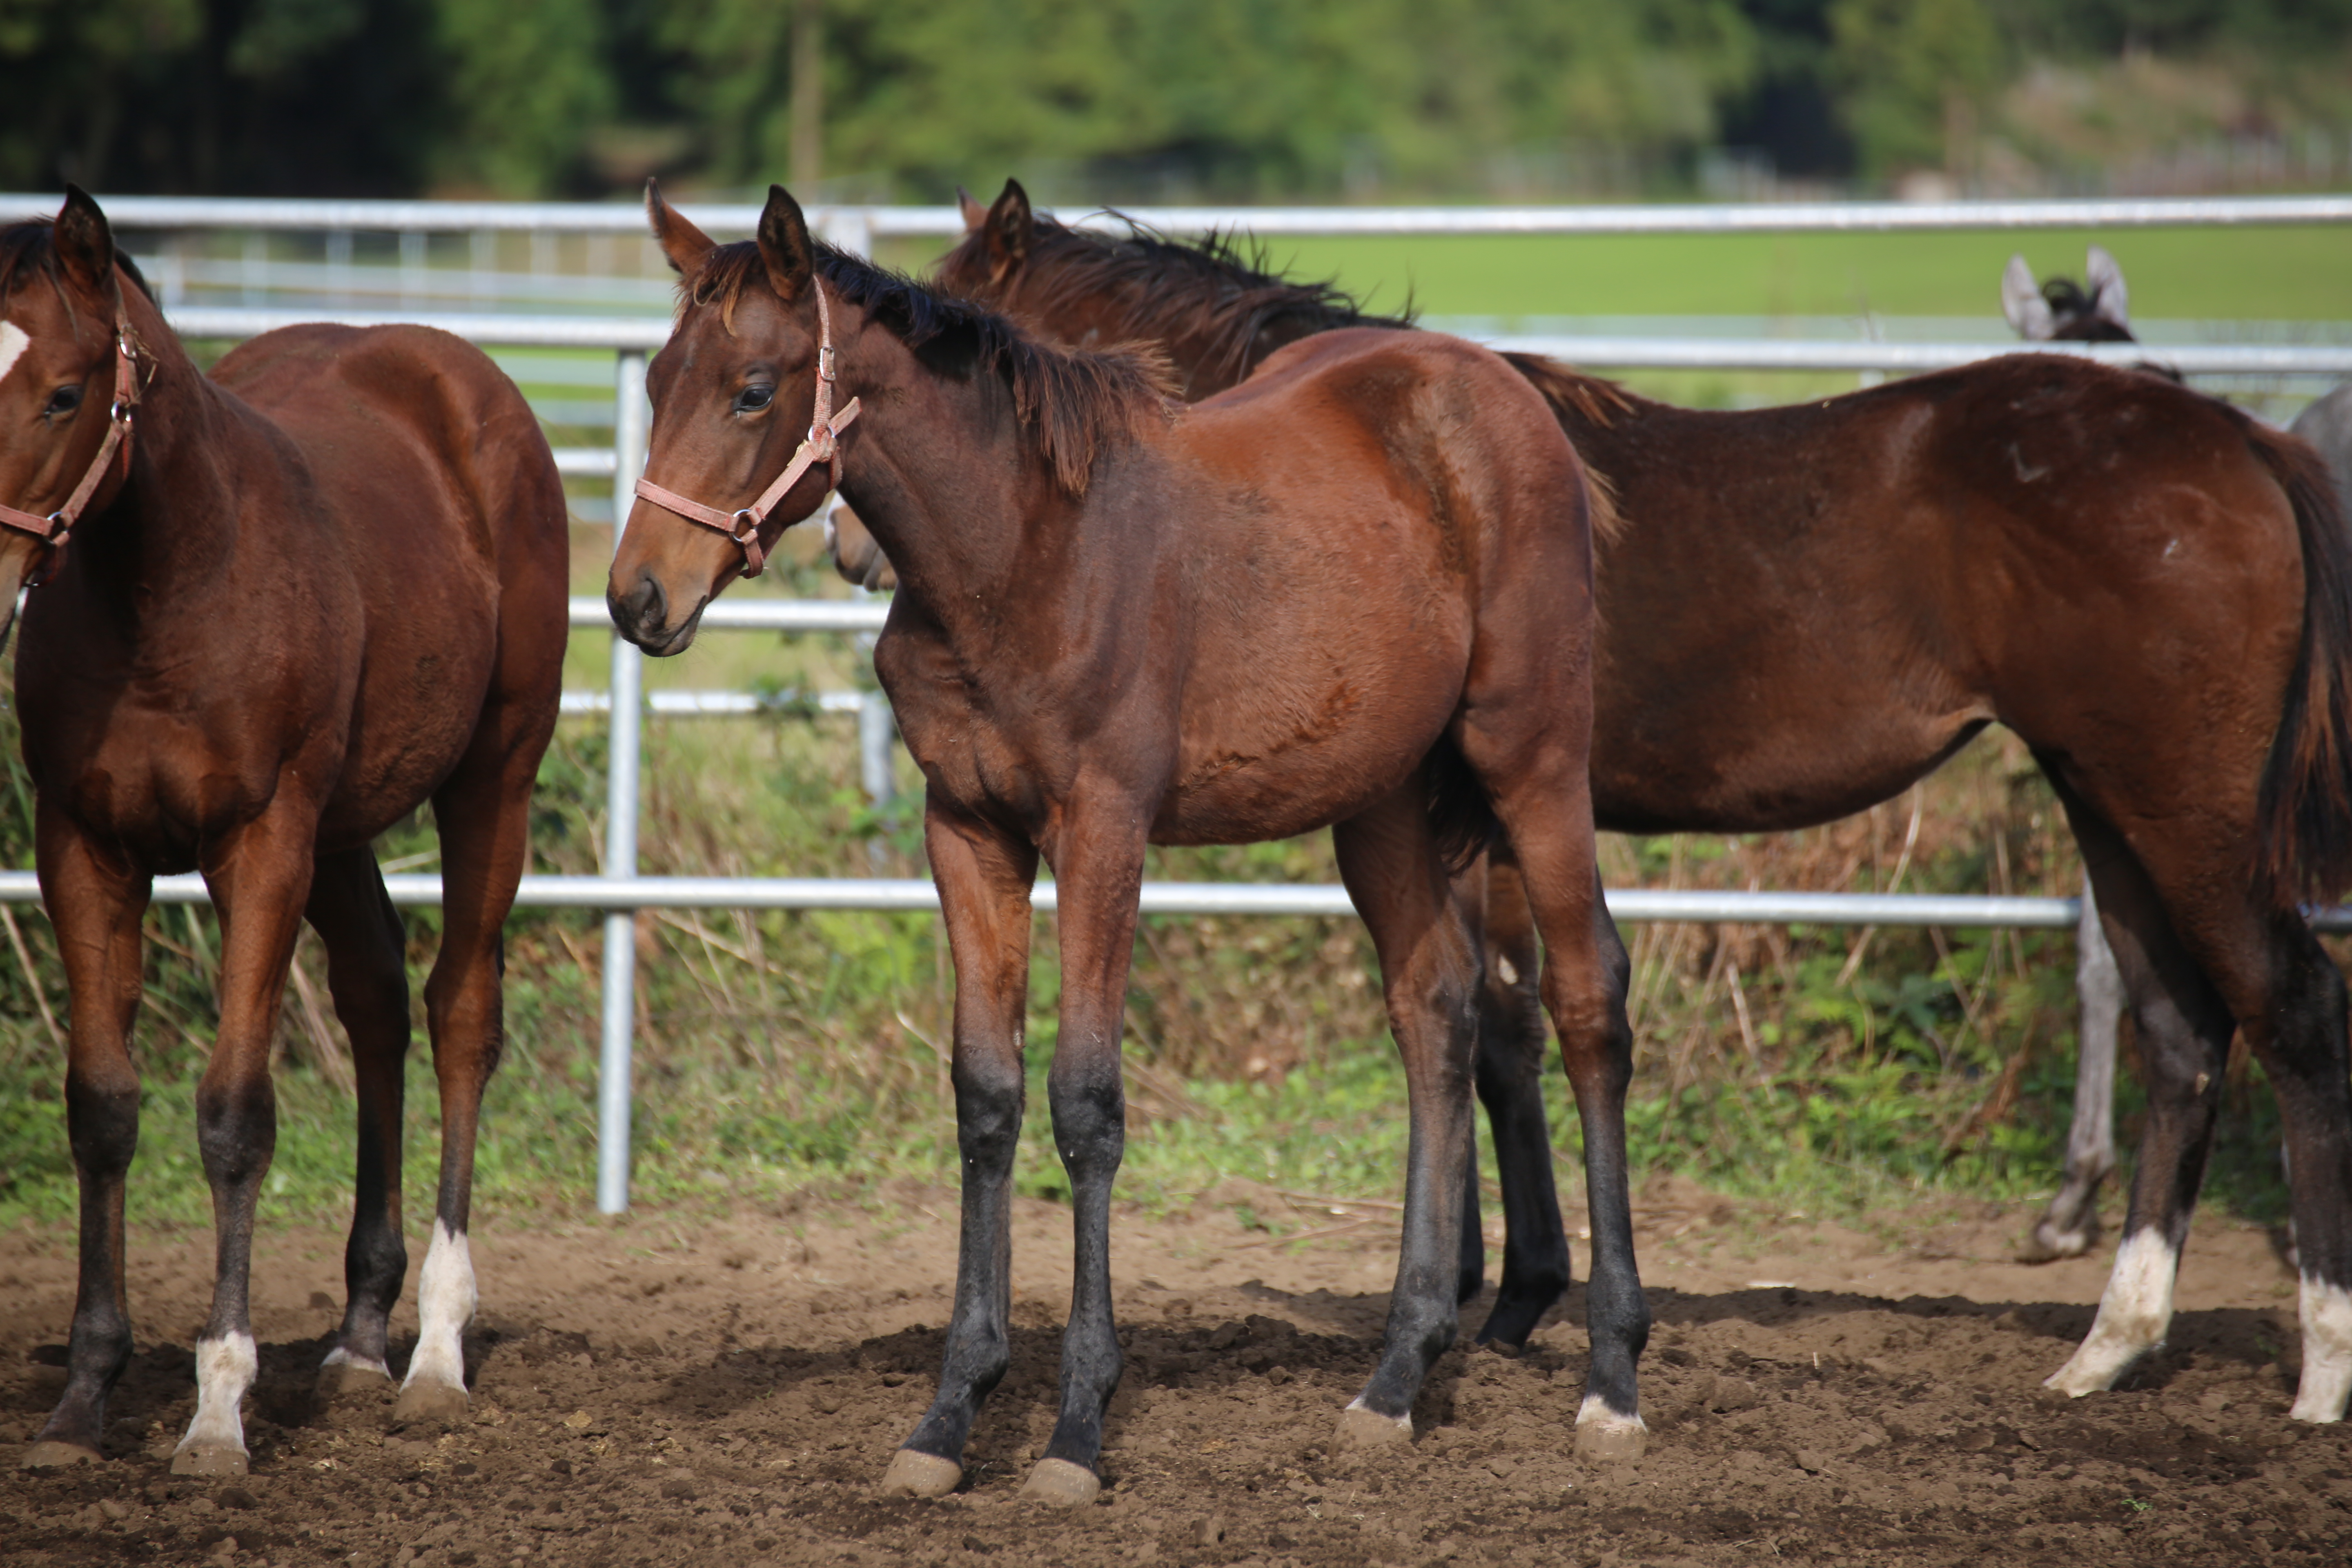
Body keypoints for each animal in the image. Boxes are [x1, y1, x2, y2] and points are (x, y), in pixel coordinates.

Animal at [2, 193, 569, 1476]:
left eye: (62, 393)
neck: (165, 588)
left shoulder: (260, 846)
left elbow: (232, 1113)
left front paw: (218, 1406)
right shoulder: (83, 846)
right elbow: (101, 1107)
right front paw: (84, 1399)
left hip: (489, 780)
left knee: (459, 1016)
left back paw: (435, 1350)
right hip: (344, 828)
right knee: (374, 1001)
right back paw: (359, 1335)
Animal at [607, 187, 1637, 1504]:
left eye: (750, 388)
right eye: (655, 383)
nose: (637, 598)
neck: (1021, 554)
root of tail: (1505, 396)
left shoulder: (1103, 828)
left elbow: (1084, 1103)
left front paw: (1075, 1427)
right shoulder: (968, 831)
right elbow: (986, 1095)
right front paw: (950, 1413)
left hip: (1534, 761)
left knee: (1586, 996)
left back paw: (1611, 1378)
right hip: (1384, 803)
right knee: (1438, 1013)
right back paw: (1396, 1378)